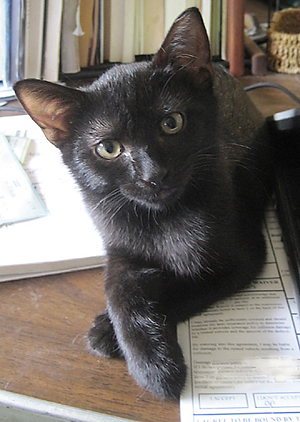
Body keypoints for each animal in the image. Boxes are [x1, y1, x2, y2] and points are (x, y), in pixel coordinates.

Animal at [14, 8, 274, 400]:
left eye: (172, 122)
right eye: (108, 148)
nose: (154, 175)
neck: (163, 219)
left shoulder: (243, 258)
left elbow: (184, 289)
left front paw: (150, 365)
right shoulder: (117, 245)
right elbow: (117, 292)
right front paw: (135, 348)